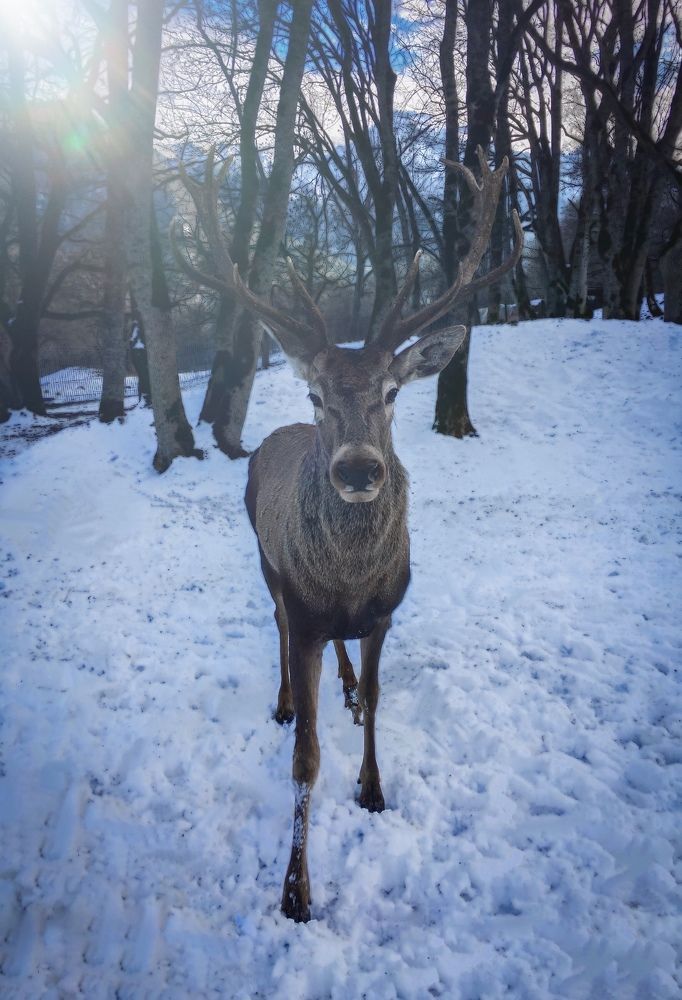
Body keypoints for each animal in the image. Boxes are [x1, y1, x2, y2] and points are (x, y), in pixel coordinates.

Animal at [172, 147, 523, 922]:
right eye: (316, 393)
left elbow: (379, 706)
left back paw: (349, 684)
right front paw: (295, 891)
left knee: (343, 652)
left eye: (392, 393)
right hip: (267, 563)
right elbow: (305, 757)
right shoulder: (306, 610)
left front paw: (373, 785)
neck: (351, 579)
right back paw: (284, 699)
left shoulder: (386, 611)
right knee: (276, 625)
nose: (359, 468)